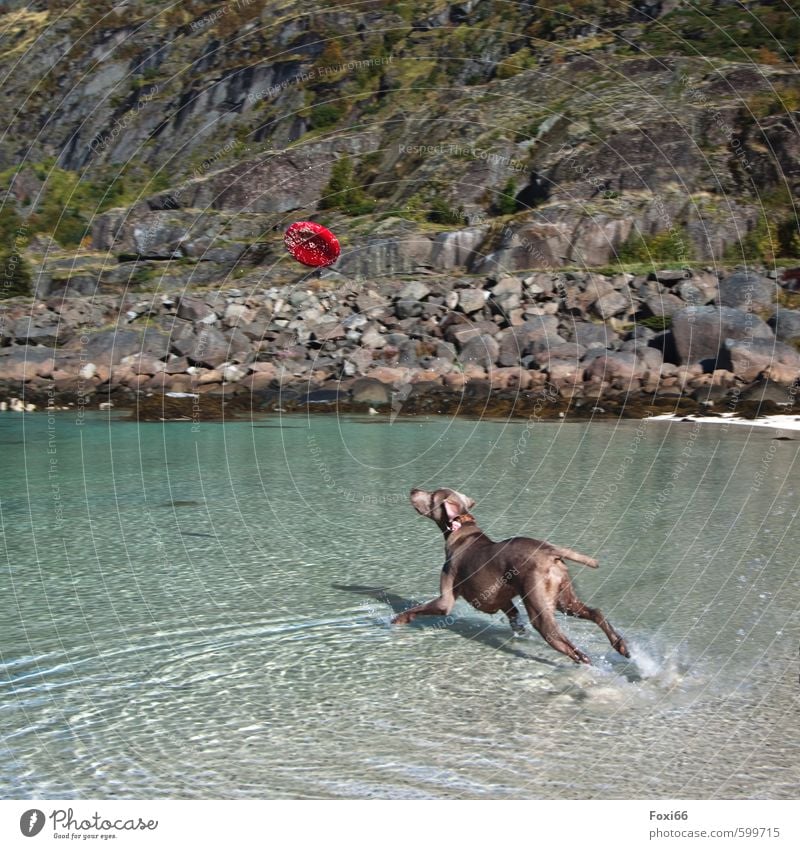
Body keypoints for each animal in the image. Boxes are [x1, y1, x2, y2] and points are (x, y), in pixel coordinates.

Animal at [394, 484, 632, 664]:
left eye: (432, 495)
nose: (413, 489)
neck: (461, 530)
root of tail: (549, 550)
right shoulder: (504, 600)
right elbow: (514, 616)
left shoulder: (446, 600)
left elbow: (417, 609)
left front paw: (396, 619)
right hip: (564, 600)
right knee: (596, 613)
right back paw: (620, 646)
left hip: (539, 607)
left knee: (566, 643)